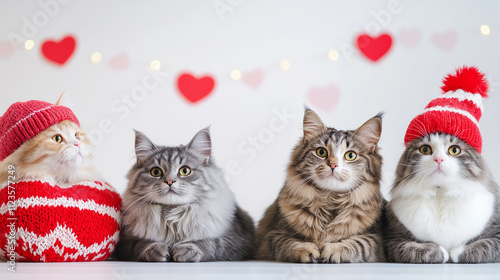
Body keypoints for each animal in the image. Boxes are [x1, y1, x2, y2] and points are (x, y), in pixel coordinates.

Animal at [113, 128, 254, 262]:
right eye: (156, 172)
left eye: (185, 171)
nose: (169, 181)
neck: (172, 216)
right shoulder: (126, 243)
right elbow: (142, 243)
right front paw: (156, 249)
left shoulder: (235, 240)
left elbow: (209, 243)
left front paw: (187, 249)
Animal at [256, 109, 384, 262]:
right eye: (321, 152)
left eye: (350, 155)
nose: (333, 165)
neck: (330, 199)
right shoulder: (274, 234)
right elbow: (290, 243)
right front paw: (308, 250)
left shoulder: (375, 237)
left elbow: (358, 244)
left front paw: (333, 249)